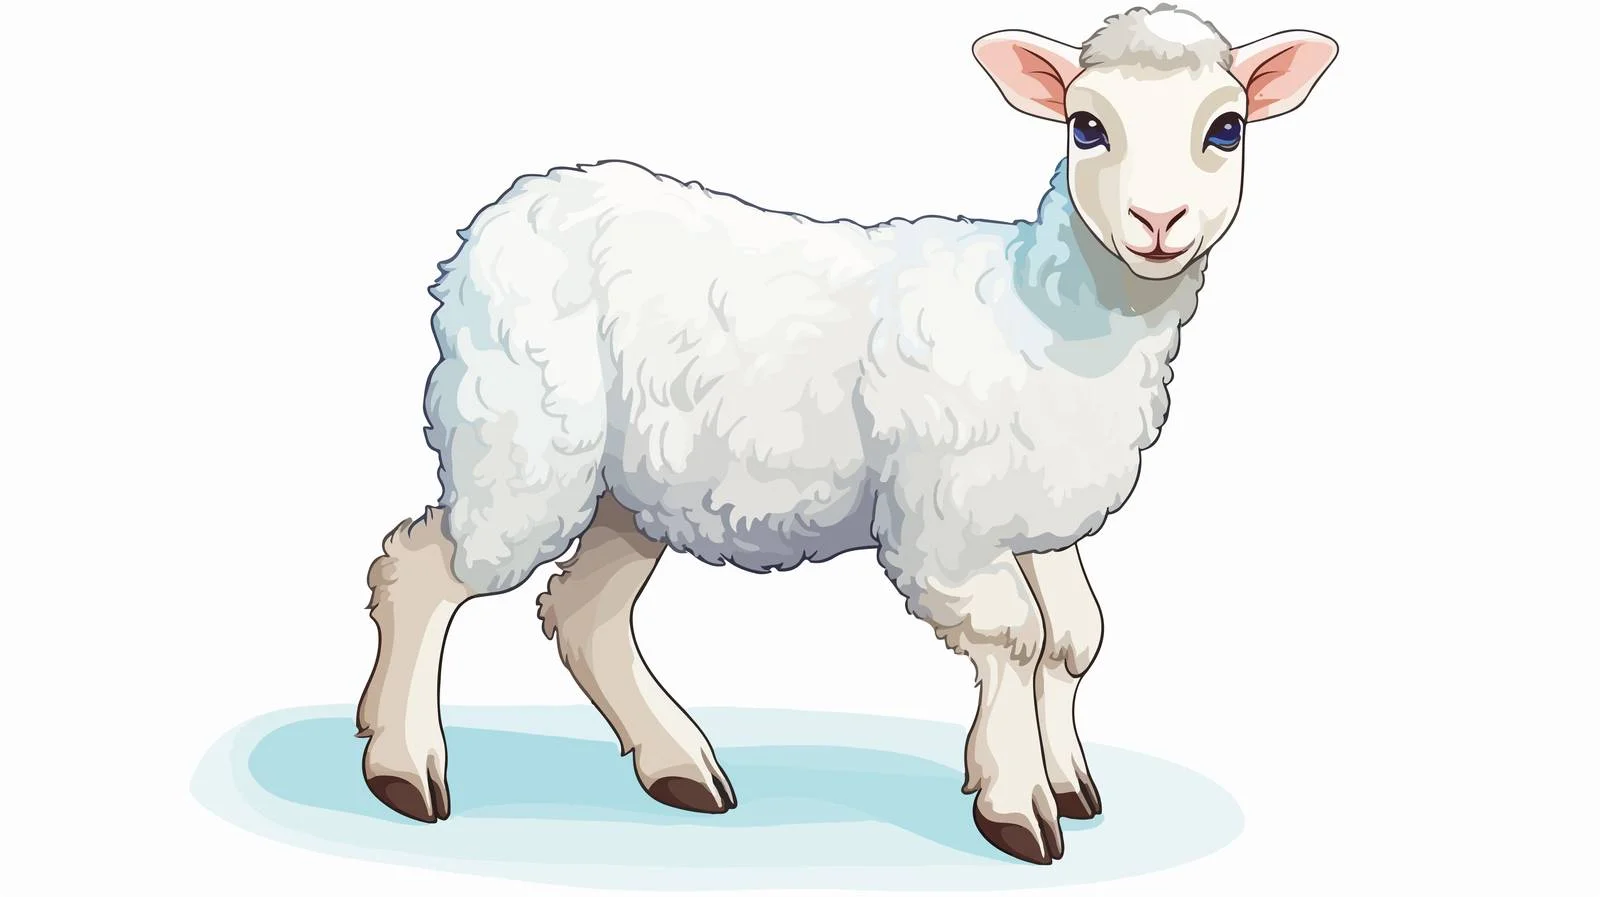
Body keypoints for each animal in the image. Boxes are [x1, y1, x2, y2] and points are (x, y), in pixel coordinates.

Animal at [355, 4, 1337, 865]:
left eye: (1227, 129)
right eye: (1086, 126)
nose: (1157, 224)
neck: (1052, 311)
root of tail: (509, 208)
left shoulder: (1039, 512)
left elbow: (1075, 637)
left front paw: (1069, 783)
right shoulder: (945, 522)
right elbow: (1016, 638)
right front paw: (1017, 805)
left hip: (628, 486)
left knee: (584, 612)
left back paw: (679, 765)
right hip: (521, 441)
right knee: (422, 568)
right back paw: (404, 768)